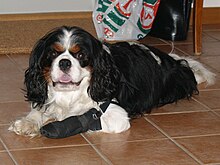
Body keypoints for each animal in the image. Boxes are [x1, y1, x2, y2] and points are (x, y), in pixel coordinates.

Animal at [8, 25, 215, 137]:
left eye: (81, 55)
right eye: (53, 54)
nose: (64, 62)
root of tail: (172, 60)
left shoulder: (116, 117)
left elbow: (78, 117)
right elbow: (39, 109)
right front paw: (28, 123)